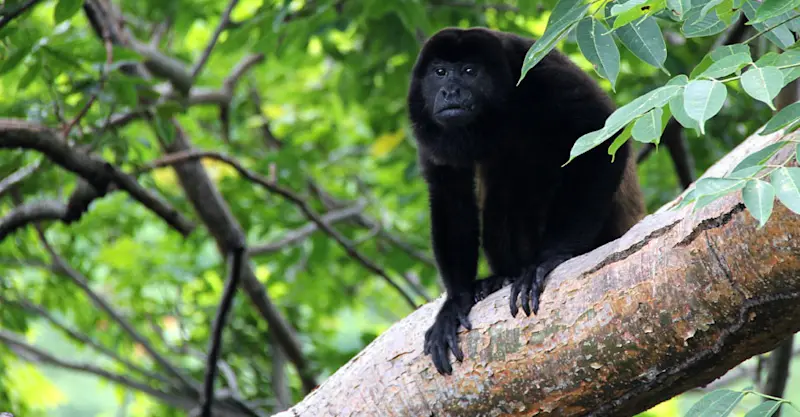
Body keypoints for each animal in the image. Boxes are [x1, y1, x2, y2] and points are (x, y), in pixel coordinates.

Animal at [406, 27, 646, 375]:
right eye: (440, 72)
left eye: (469, 71)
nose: (451, 91)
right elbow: (450, 193)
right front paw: (454, 303)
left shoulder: (541, 78)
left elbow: (600, 134)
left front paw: (547, 259)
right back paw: (499, 278)